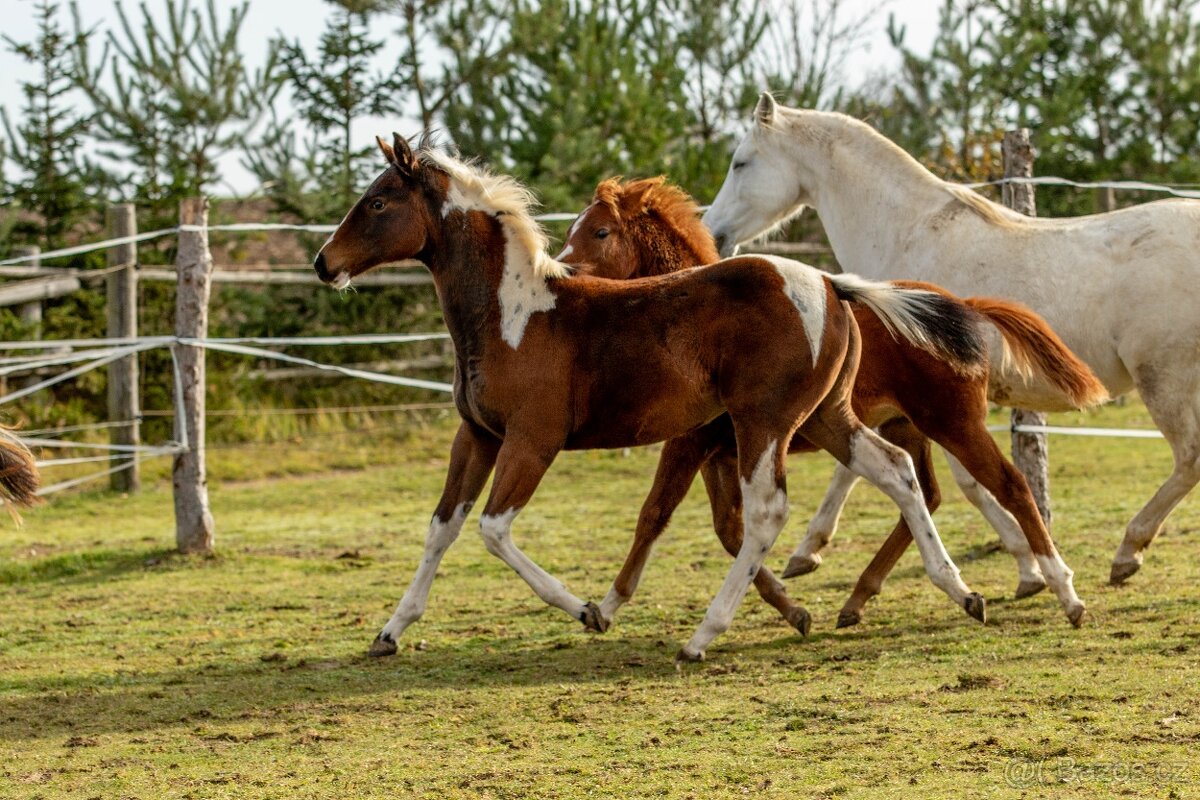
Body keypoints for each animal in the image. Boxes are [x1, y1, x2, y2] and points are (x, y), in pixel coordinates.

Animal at [315, 134, 992, 662]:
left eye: (377, 201)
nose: (324, 263)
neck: (511, 317)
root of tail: (830, 282)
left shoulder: (534, 440)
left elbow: (493, 529)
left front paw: (587, 609)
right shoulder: (477, 435)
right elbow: (442, 527)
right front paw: (390, 631)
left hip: (764, 422)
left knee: (768, 512)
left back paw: (703, 636)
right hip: (827, 417)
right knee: (896, 470)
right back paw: (961, 592)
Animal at [557, 176, 1101, 630]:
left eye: (600, 232)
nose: (562, 270)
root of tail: (961, 306)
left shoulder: (690, 444)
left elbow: (655, 515)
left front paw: (606, 607)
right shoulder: (721, 454)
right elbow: (728, 529)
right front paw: (790, 606)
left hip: (953, 422)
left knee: (1010, 486)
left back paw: (1064, 592)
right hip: (905, 426)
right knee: (924, 492)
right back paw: (865, 596)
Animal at [703, 93, 1200, 589]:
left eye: (740, 162)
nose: (713, 232)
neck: (908, 233)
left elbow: (959, 482)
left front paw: (1029, 566)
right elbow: (863, 469)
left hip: (1163, 380)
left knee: (1189, 458)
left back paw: (1128, 552)